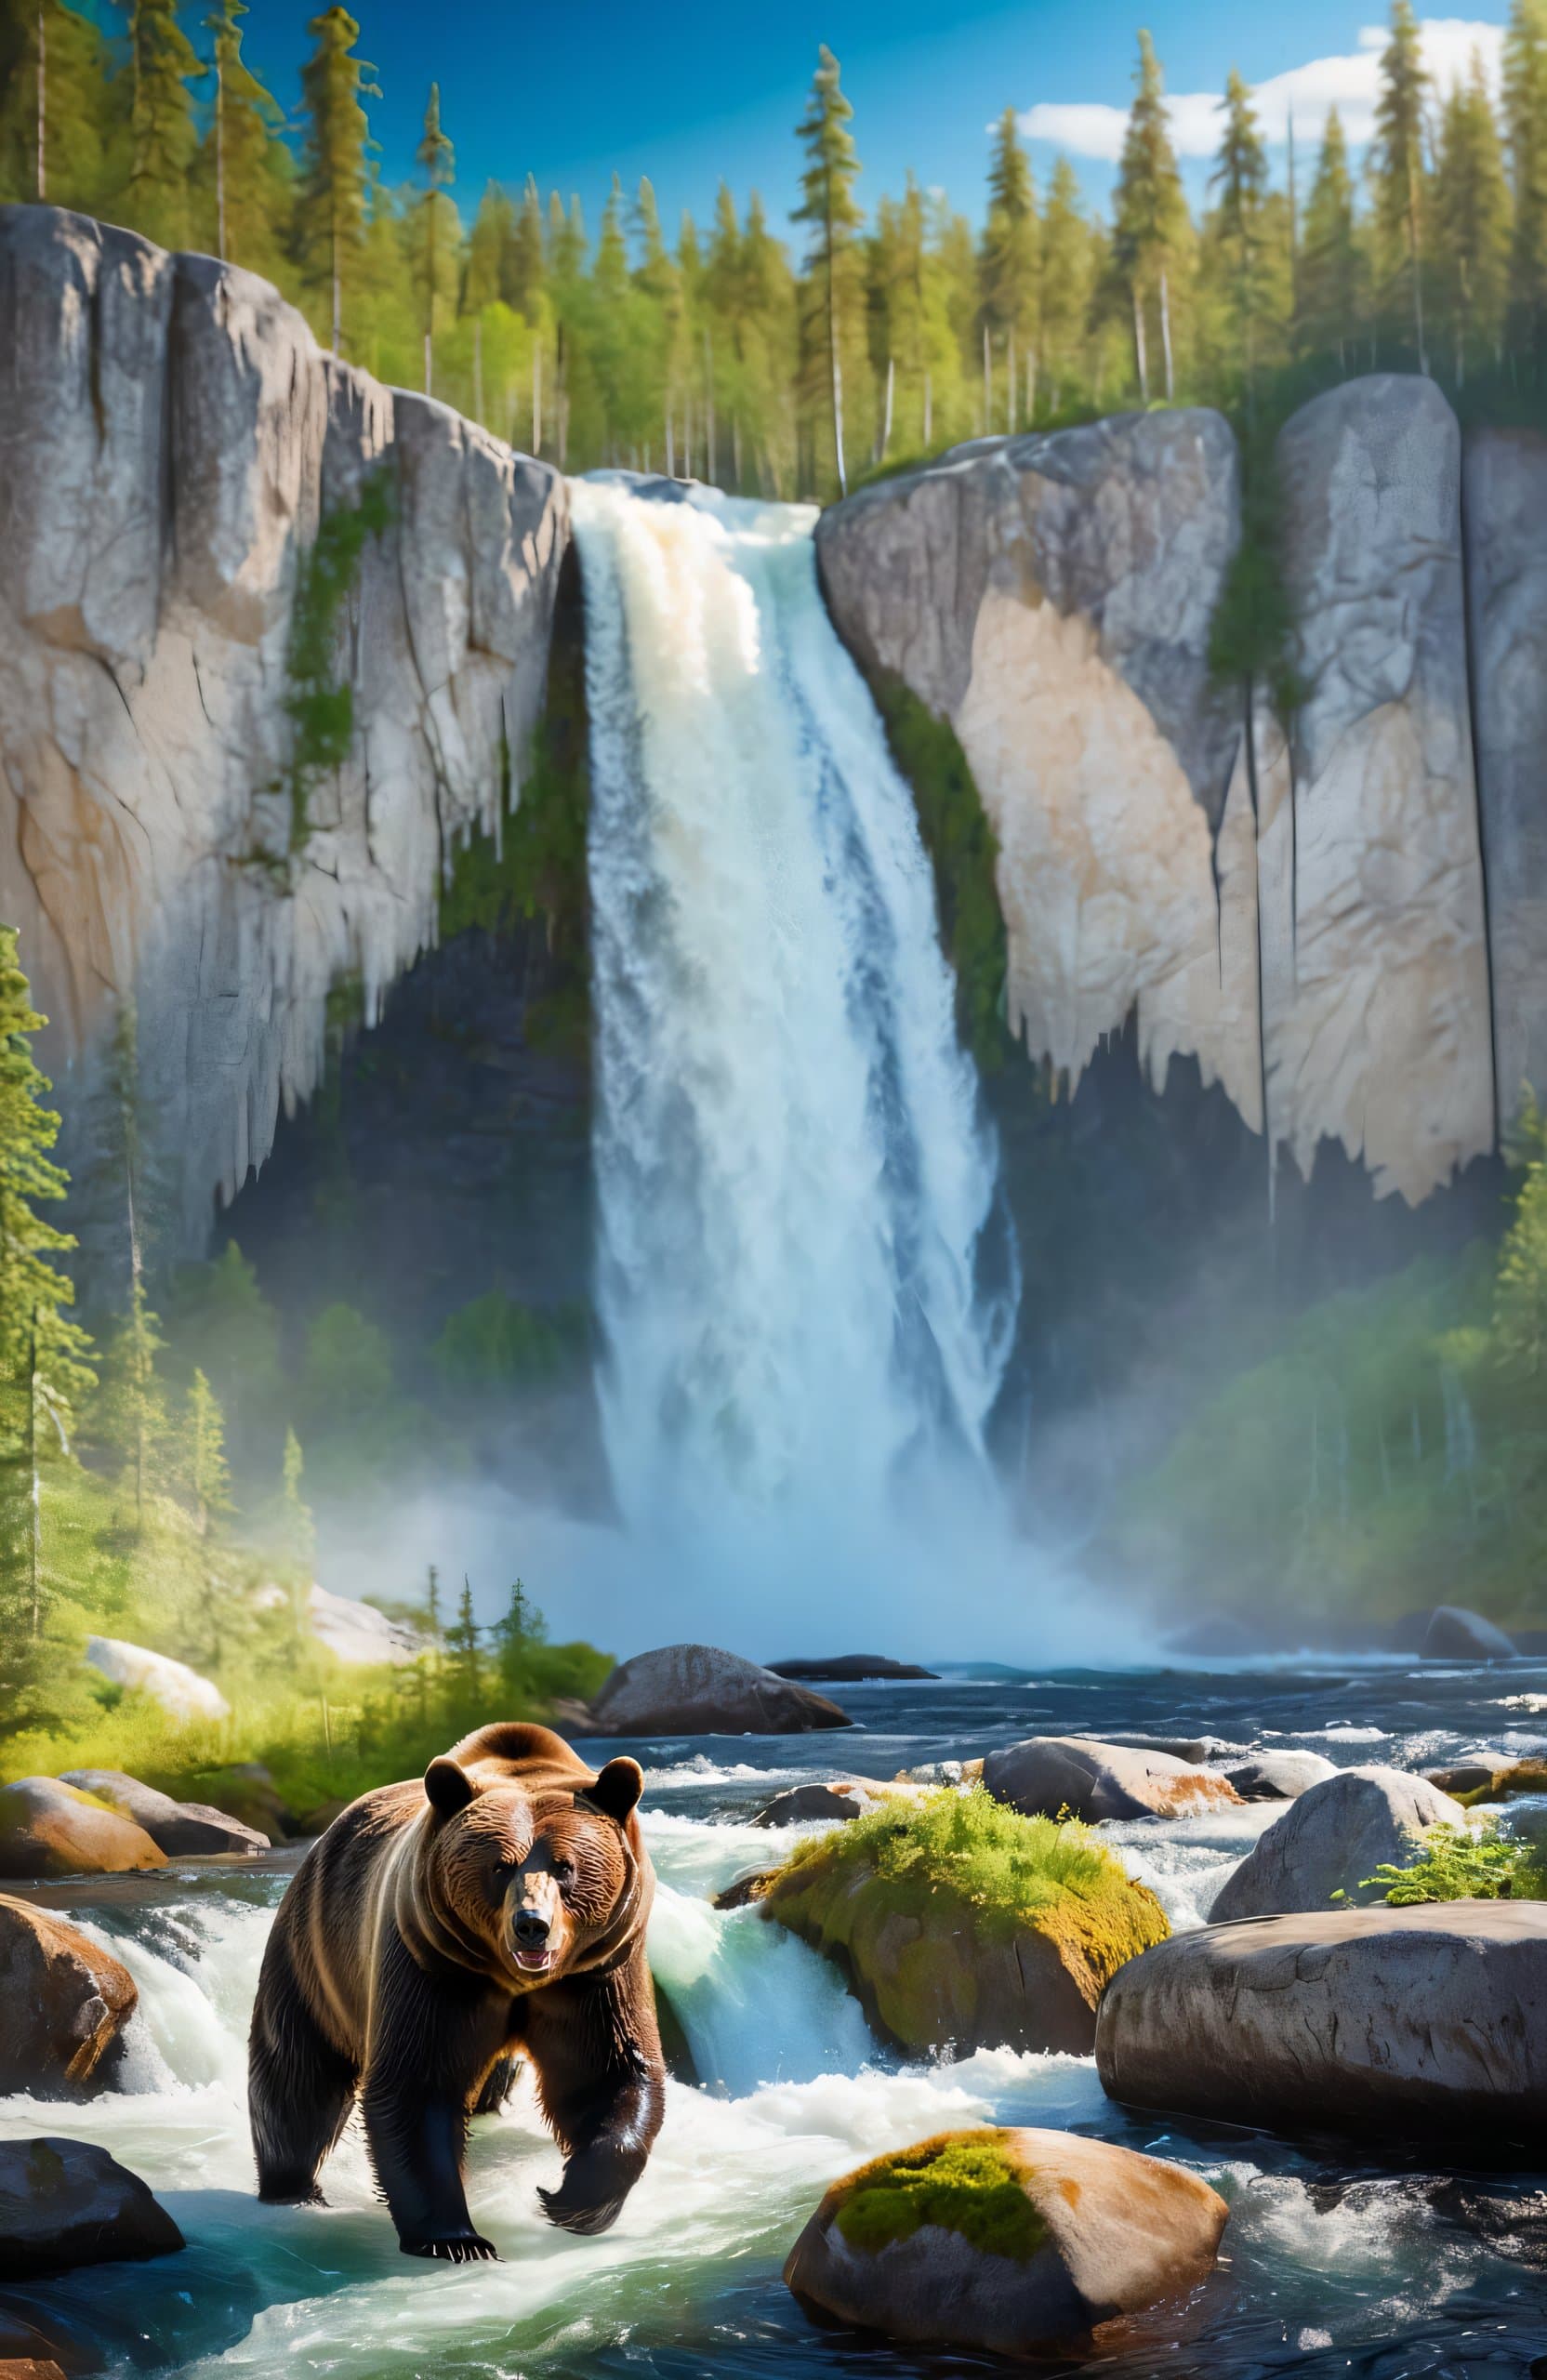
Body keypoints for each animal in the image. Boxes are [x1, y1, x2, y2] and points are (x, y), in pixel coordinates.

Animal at [248, 1720, 664, 2261]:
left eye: (566, 1866)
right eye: (500, 1866)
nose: (532, 1926)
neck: (513, 1979)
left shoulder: (597, 1973)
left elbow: (606, 2072)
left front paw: (569, 2200)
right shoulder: (433, 1966)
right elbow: (417, 2083)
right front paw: (456, 2238)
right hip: (316, 1951)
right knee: (298, 2071)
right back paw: (292, 2187)